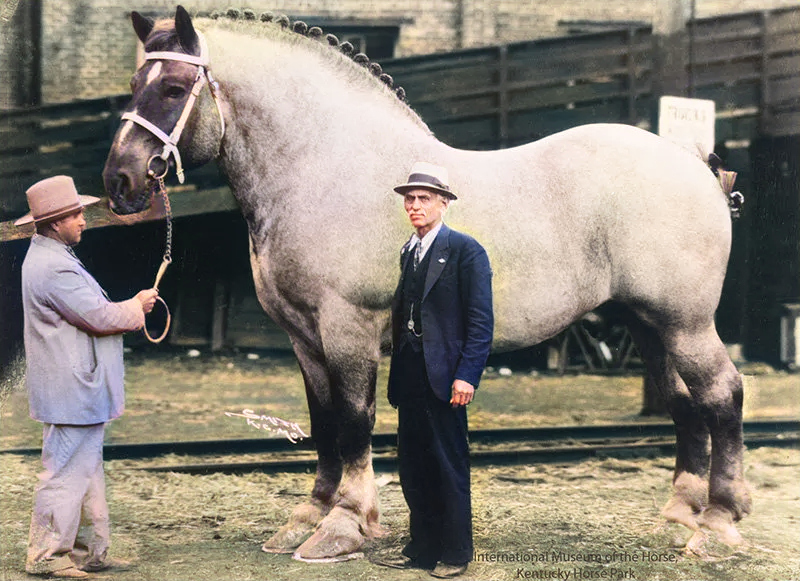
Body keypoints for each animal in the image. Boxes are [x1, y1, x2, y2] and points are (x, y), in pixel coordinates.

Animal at [101, 5, 752, 560]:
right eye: (134, 84)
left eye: (173, 89)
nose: (120, 182)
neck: (325, 168)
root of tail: (696, 164)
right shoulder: (304, 338)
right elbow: (323, 423)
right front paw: (307, 517)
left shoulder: (348, 328)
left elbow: (354, 421)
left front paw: (344, 525)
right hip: (648, 323)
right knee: (682, 402)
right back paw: (680, 514)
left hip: (685, 323)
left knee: (722, 394)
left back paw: (719, 521)